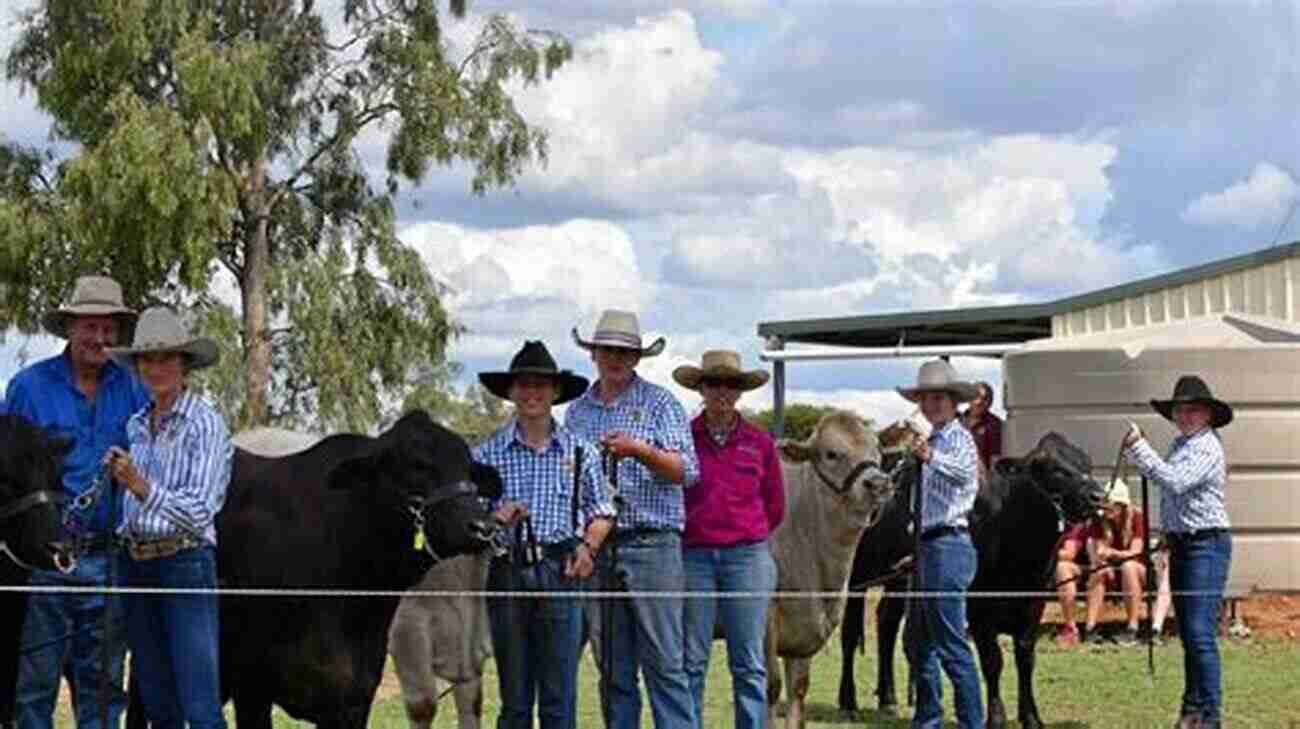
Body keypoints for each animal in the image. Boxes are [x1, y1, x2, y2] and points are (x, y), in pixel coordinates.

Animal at [764, 410, 899, 727]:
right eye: (831, 454)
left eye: (877, 450)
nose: (879, 484)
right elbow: (772, 687)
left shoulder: (805, 630)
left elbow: (798, 688)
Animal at [837, 431, 1102, 727]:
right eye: (1054, 468)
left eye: (1087, 464)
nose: (1098, 496)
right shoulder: (978, 608)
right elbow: (992, 661)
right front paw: (996, 717)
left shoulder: (1034, 603)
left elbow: (1025, 658)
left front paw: (1031, 717)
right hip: (857, 572)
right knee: (850, 632)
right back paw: (848, 701)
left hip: (899, 581)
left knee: (887, 623)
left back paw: (888, 698)